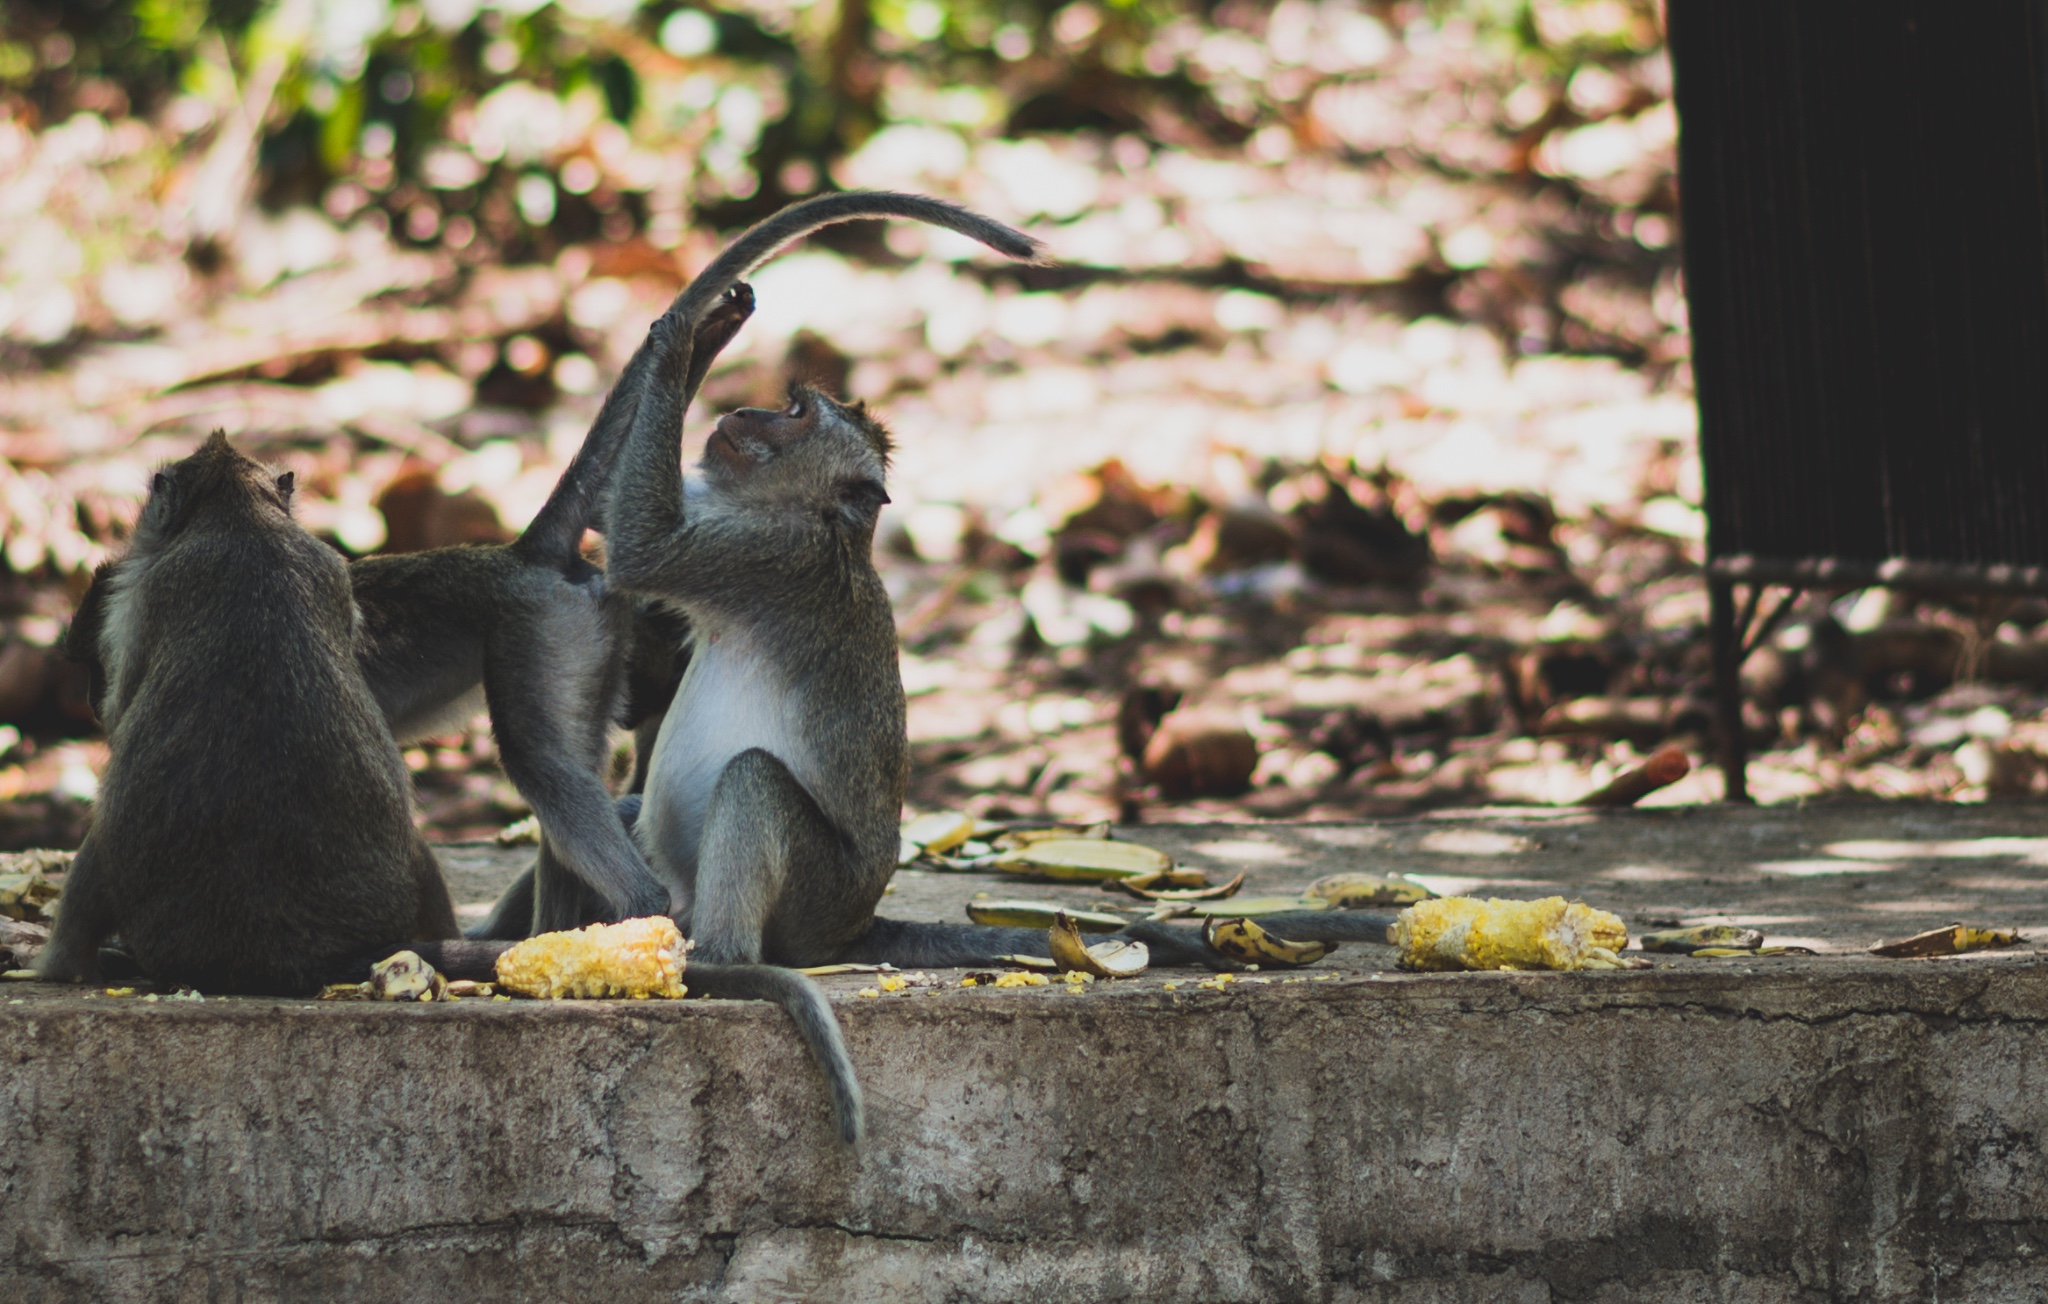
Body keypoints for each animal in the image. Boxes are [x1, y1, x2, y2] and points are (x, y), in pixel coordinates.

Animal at [37, 431, 460, 990]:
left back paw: (57, 967)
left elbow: (123, 706)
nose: (85, 697)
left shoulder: (148, 590)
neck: (242, 514)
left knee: (96, 851)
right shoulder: (329, 565)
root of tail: (287, 955)